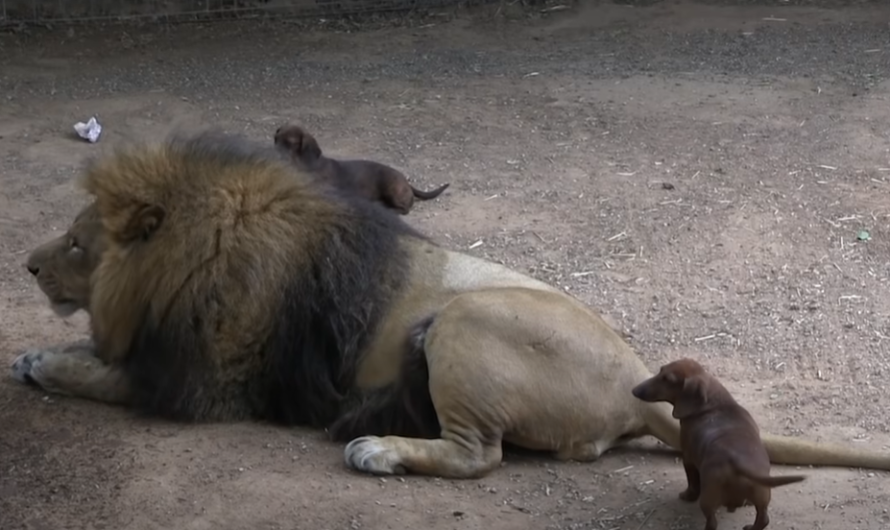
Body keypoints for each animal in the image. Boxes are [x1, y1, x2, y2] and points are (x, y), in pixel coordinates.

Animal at [272, 122, 450, 213]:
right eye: (275, 139)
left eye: (290, 143)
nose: (271, 152)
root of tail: (406, 182)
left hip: (392, 188)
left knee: (404, 208)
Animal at [632, 356, 804, 528]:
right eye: (661, 370)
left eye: (667, 379)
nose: (635, 390)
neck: (713, 404)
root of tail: (738, 463)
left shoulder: (688, 459)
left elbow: (692, 483)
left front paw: (687, 495)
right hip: (762, 496)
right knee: (763, 519)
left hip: (708, 500)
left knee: (712, 522)